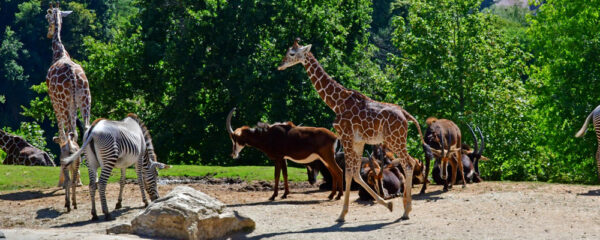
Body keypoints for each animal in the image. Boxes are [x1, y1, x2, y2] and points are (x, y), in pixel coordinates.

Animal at [278, 39, 434, 221]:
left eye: (292, 53)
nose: (280, 65)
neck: (336, 103)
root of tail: (405, 114)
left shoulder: (346, 136)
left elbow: (347, 173)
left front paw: (341, 215)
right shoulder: (359, 141)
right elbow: (356, 174)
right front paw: (387, 204)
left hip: (395, 140)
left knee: (408, 164)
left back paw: (406, 211)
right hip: (397, 140)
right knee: (409, 162)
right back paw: (405, 208)